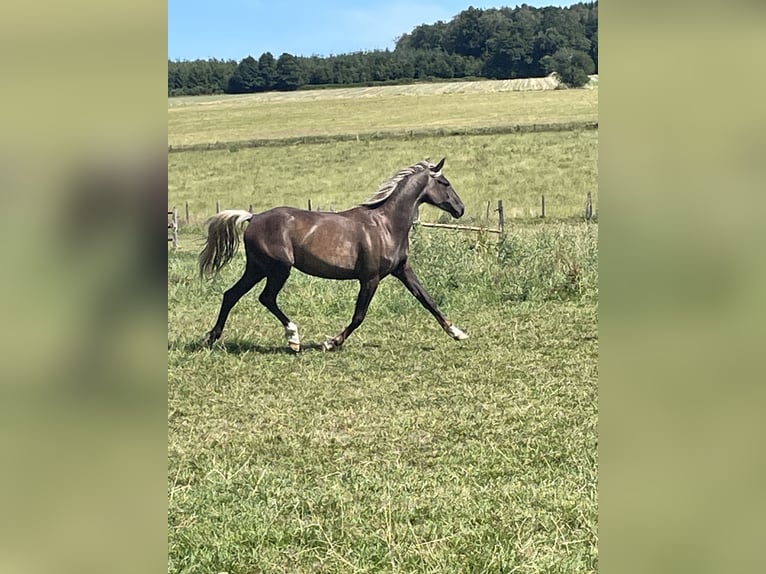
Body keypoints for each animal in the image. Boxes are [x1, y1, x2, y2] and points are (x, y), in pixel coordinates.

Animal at [199, 157, 469, 352]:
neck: (386, 225)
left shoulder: (402, 269)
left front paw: (458, 333)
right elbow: (359, 315)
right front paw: (331, 342)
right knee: (266, 298)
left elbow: (427, 300)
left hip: (257, 268)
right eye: (444, 183)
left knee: (231, 295)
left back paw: (211, 338)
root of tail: (253, 217)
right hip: (278, 269)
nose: (460, 209)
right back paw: (293, 339)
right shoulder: (370, 278)